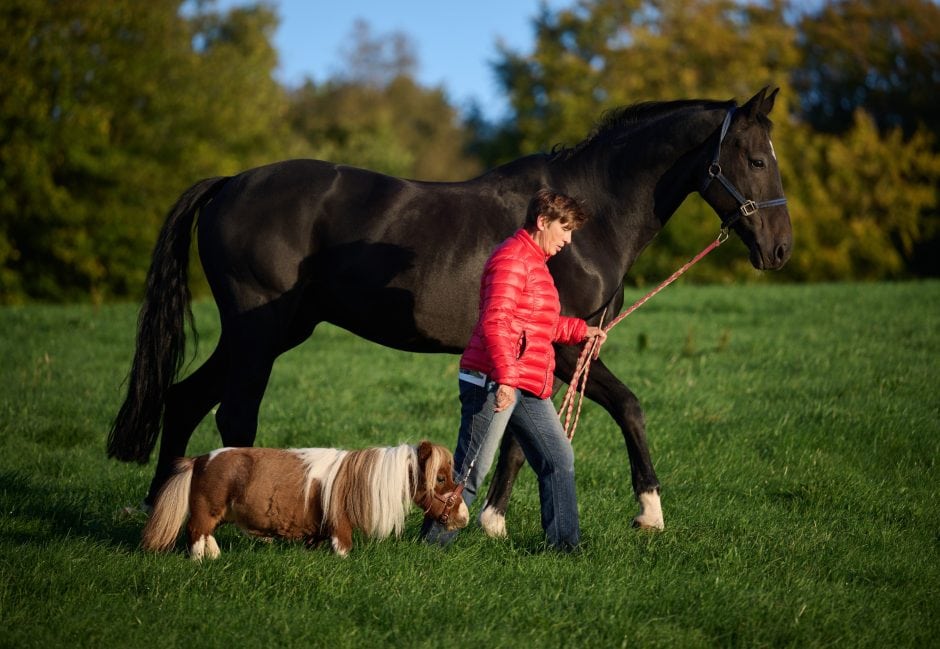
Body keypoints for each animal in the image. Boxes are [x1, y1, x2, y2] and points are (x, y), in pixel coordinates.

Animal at [110, 87, 792, 532]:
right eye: (758, 159)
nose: (780, 249)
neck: (585, 217)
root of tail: (229, 182)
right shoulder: (568, 348)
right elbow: (628, 408)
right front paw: (649, 511)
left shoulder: (542, 352)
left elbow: (519, 438)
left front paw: (489, 520)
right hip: (259, 332)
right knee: (234, 416)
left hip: (269, 332)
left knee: (184, 400)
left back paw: (160, 510)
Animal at [140, 440, 470, 556]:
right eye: (440, 478)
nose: (464, 516)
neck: (357, 479)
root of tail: (198, 460)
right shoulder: (340, 528)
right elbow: (343, 549)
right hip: (204, 511)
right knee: (196, 535)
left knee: (207, 536)